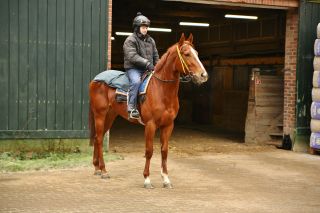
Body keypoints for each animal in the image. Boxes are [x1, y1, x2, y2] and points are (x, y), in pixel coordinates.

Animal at [88, 33, 208, 188]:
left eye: (197, 53)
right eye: (186, 54)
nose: (203, 75)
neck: (161, 90)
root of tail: (96, 79)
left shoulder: (168, 125)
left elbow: (164, 151)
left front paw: (166, 179)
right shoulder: (150, 125)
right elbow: (149, 151)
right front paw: (147, 179)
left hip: (110, 115)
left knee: (99, 138)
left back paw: (97, 168)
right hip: (100, 114)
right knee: (98, 139)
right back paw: (103, 171)